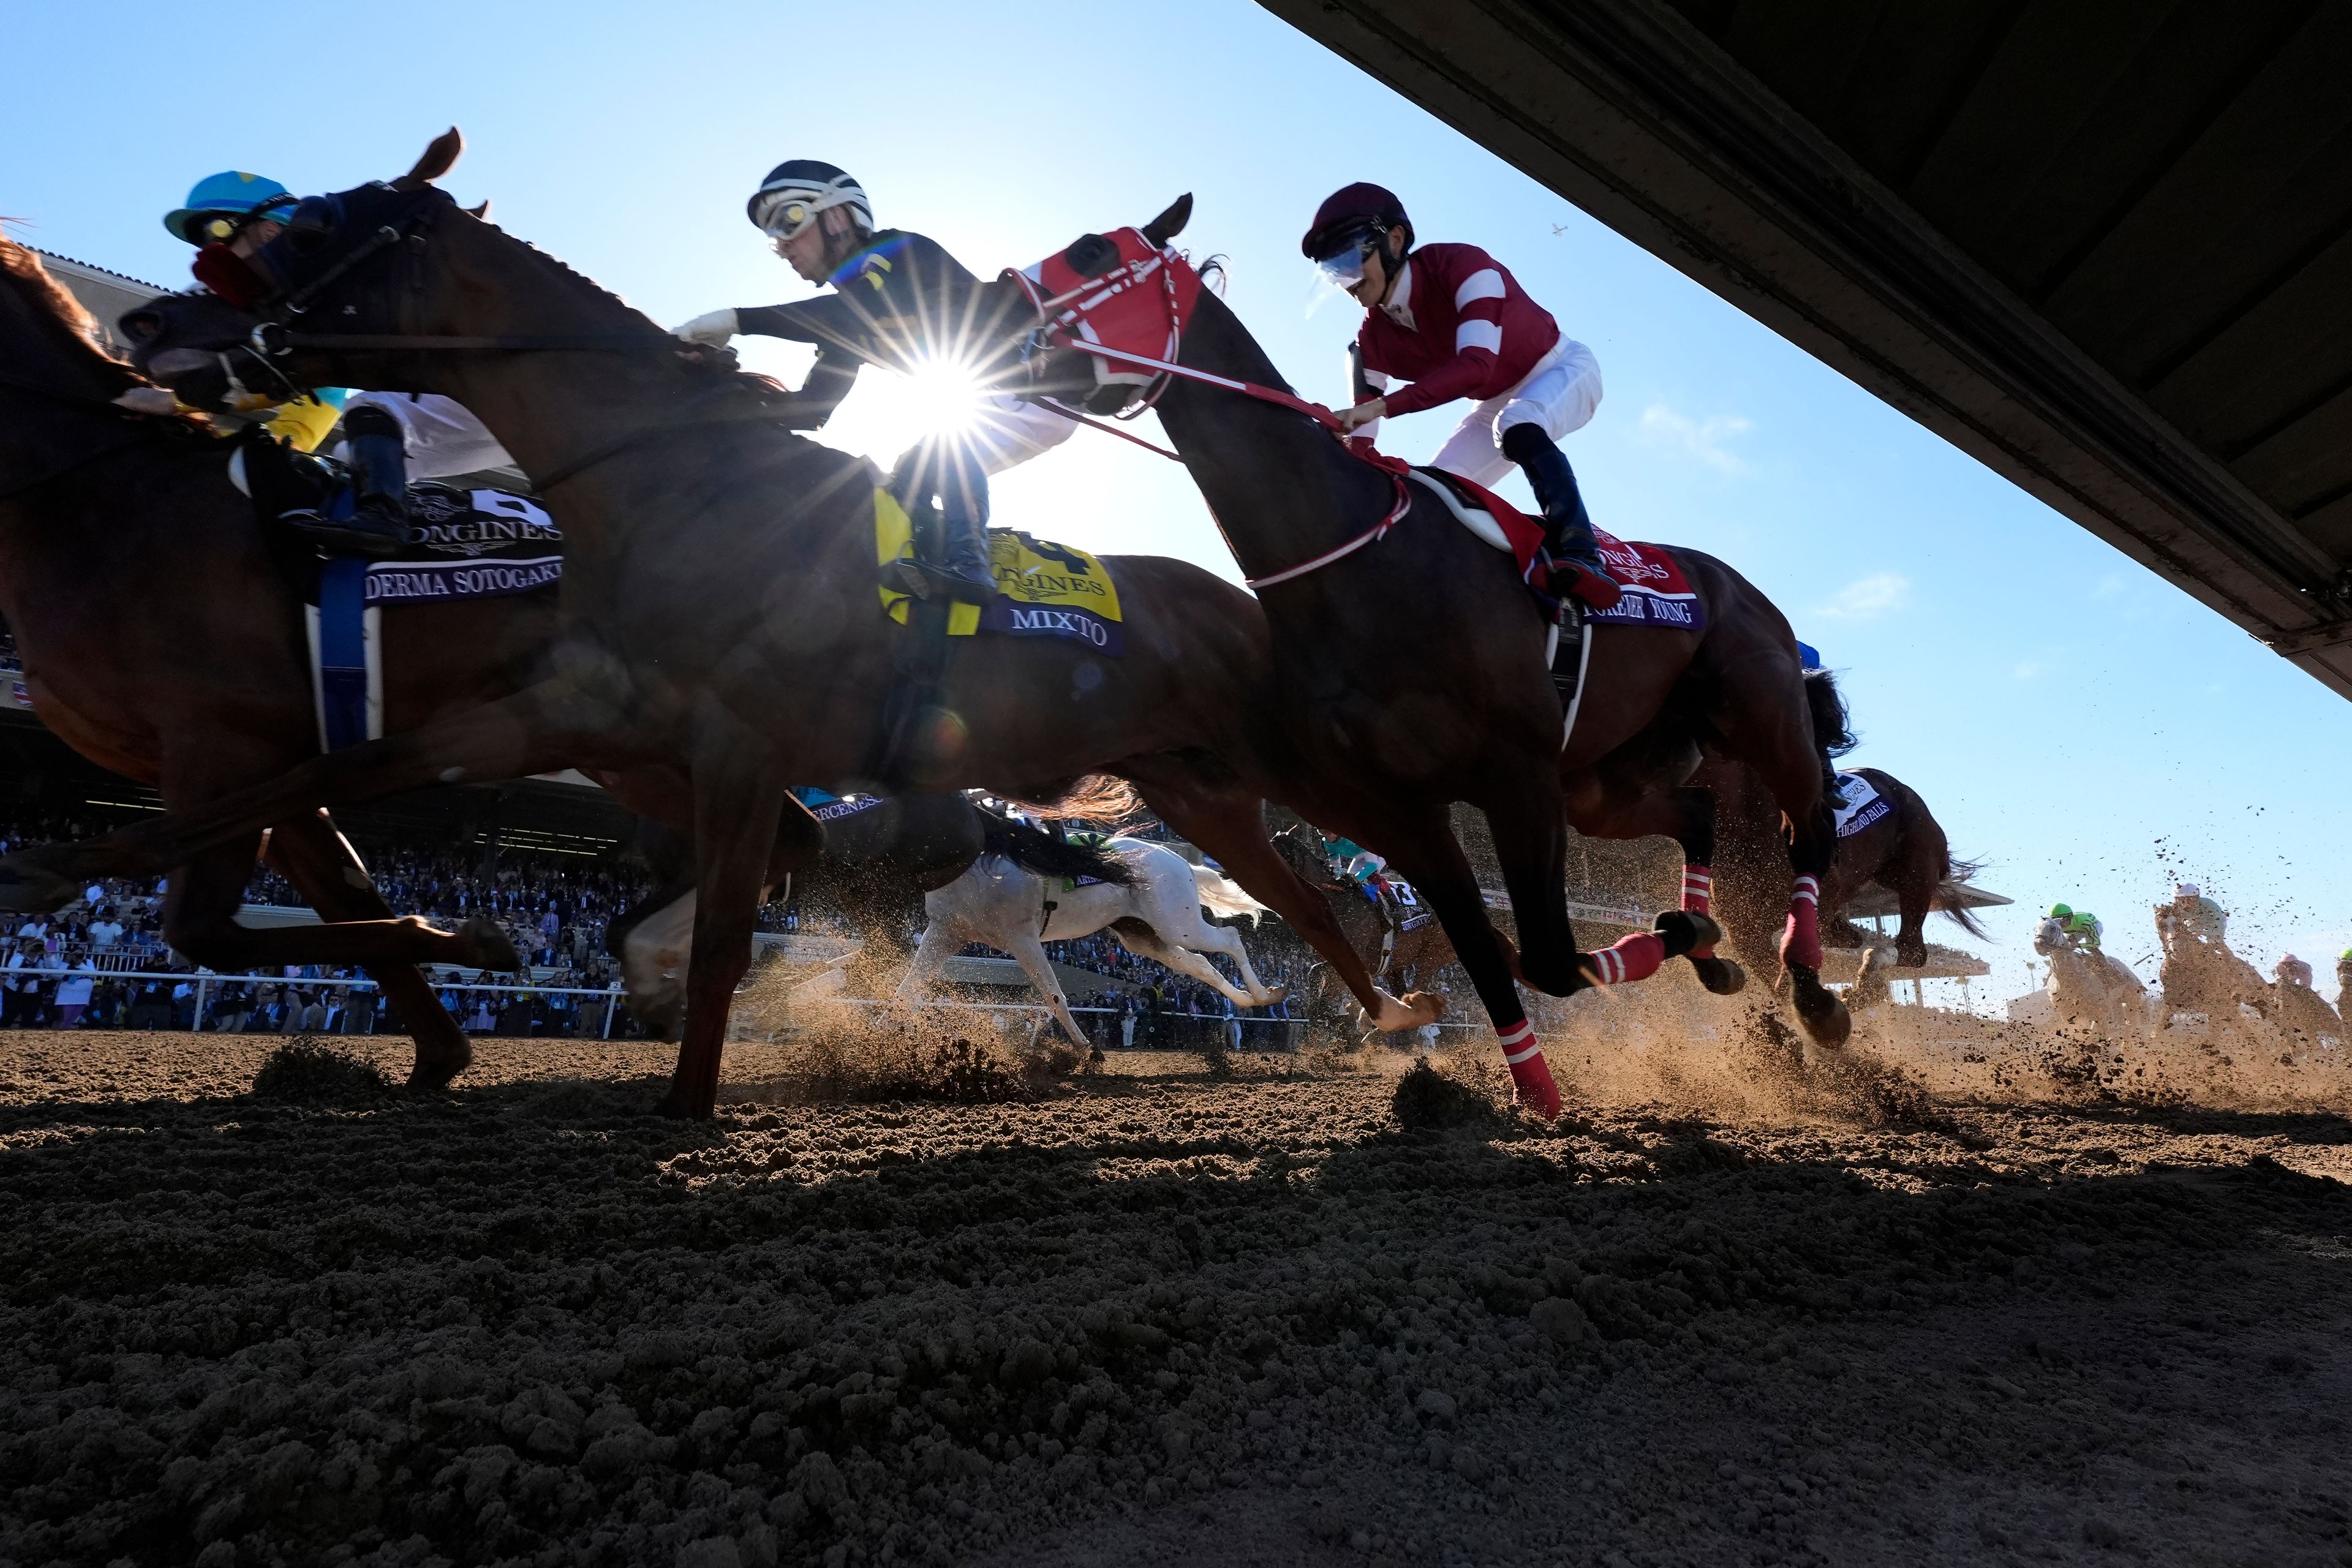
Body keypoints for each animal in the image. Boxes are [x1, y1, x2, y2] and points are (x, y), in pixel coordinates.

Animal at [889, 827, 1279, 1048]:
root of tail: (1177, 858)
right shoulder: (945, 932)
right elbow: (905, 990)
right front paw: (879, 1037)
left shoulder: (1021, 938)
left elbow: (1055, 996)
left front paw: (1085, 1048)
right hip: (1142, 936)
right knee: (1199, 964)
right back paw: (1247, 1000)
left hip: (1176, 921)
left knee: (1230, 938)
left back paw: (1264, 994)